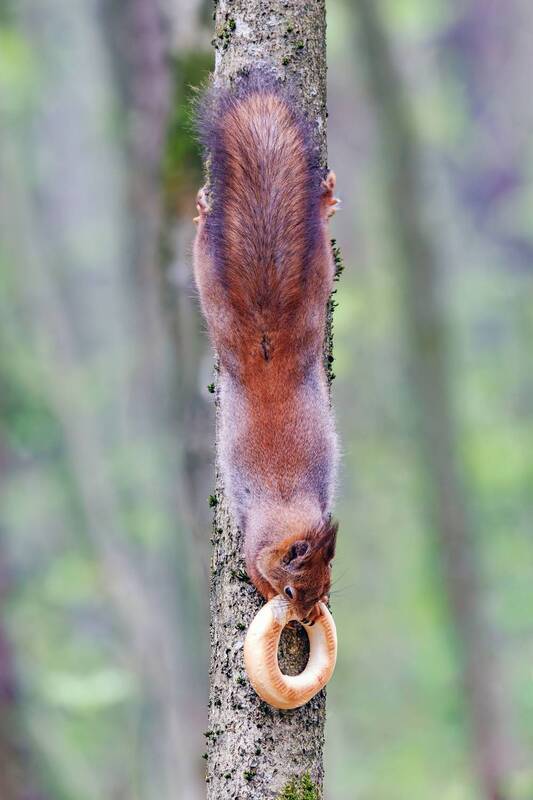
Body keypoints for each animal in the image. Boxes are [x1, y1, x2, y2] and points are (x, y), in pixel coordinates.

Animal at [193, 71, 339, 625]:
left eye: (327, 584)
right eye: (294, 589)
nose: (306, 618)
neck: (289, 506)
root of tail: (267, 339)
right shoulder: (255, 546)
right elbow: (256, 573)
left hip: (313, 287)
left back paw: (323, 199)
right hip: (216, 295)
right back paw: (201, 211)